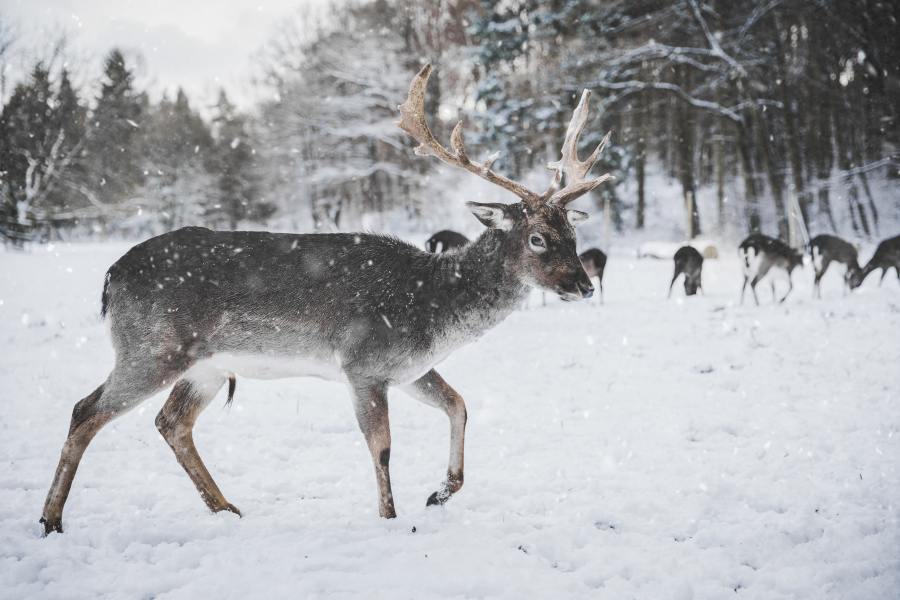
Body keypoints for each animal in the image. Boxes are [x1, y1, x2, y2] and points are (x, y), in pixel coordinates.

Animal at [37, 64, 612, 536]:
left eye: (572, 232)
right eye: (536, 238)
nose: (583, 286)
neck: (432, 308)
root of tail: (110, 277)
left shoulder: (408, 368)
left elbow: (459, 405)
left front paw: (439, 493)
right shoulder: (364, 363)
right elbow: (382, 447)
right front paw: (390, 519)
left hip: (204, 366)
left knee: (171, 422)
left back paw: (227, 508)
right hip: (152, 347)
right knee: (85, 410)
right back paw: (52, 519)